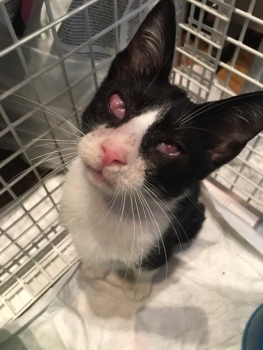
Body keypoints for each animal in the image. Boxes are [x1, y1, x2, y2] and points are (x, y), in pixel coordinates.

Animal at [59, 0, 263, 300]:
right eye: (117, 104)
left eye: (169, 147)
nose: (111, 150)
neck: (108, 206)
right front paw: (94, 266)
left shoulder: (165, 231)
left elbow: (150, 262)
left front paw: (136, 286)